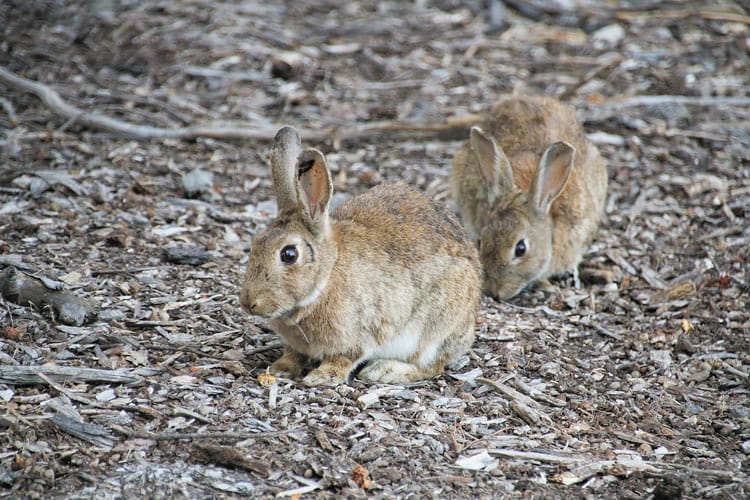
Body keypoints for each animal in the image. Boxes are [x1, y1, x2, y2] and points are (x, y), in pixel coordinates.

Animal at [240, 126, 481, 386]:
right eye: (255, 242)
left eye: (289, 254)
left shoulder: (363, 331)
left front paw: (321, 376)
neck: (327, 276)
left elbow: (344, 358)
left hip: (434, 331)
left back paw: (384, 370)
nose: (248, 303)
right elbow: (294, 353)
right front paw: (281, 368)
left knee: (432, 366)